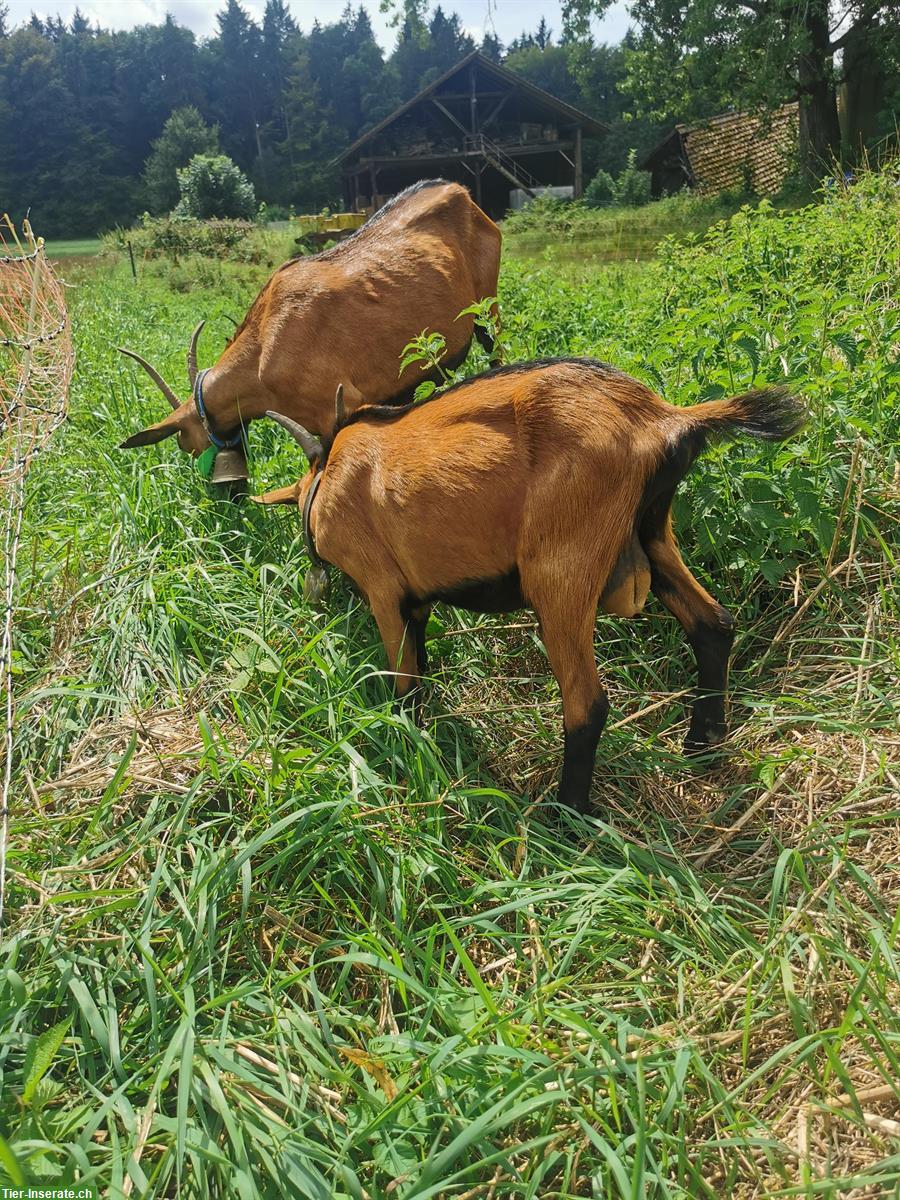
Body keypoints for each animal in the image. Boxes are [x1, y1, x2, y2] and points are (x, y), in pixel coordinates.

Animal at [114, 180, 501, 480]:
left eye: (184, 442)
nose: (225, 499)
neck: (263, 348)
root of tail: (461, 191)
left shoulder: (341, 404)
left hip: (488, 308)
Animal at [256, 362, 806, 816]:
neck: (326, 478)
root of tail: (663, 420)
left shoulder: (382, 589)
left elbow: (405, 681)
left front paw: (409, 745)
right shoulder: (417, 597)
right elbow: (422, 659)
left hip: (561, 570)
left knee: (587, 702)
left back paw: (565, 818)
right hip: (653, 534)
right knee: (713, 625)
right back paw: (703, 743)